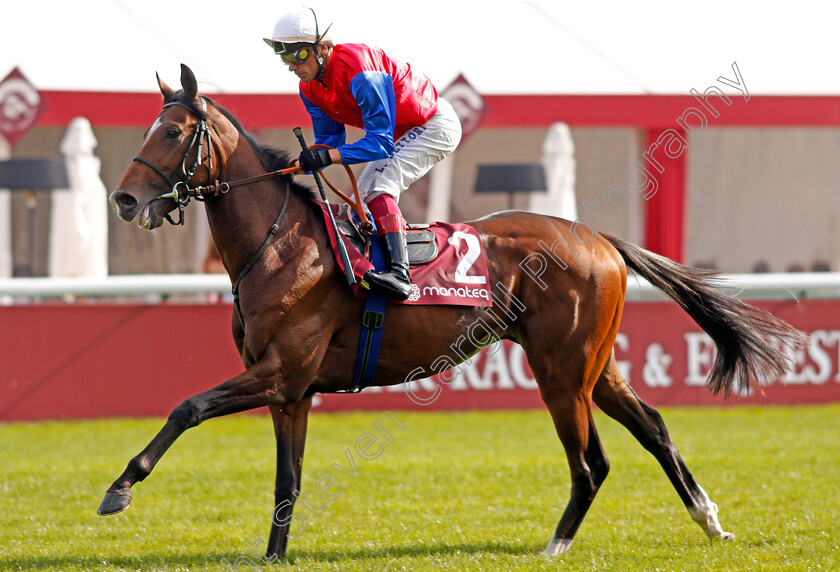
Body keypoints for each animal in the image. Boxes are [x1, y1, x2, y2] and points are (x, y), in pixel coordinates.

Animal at [103, 63, 800, 560]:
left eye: (171, 132)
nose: (124, 200)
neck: (278, 247)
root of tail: (598, 237)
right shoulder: (292, 391)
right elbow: (287, 482)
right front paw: (273, 556)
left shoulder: (279, 371)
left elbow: (187, 407)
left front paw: (120, 487)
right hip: (595, 365)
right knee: (651, 428)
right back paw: (709, 522)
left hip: (561, 371)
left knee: (589, 462)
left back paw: (556, 546)